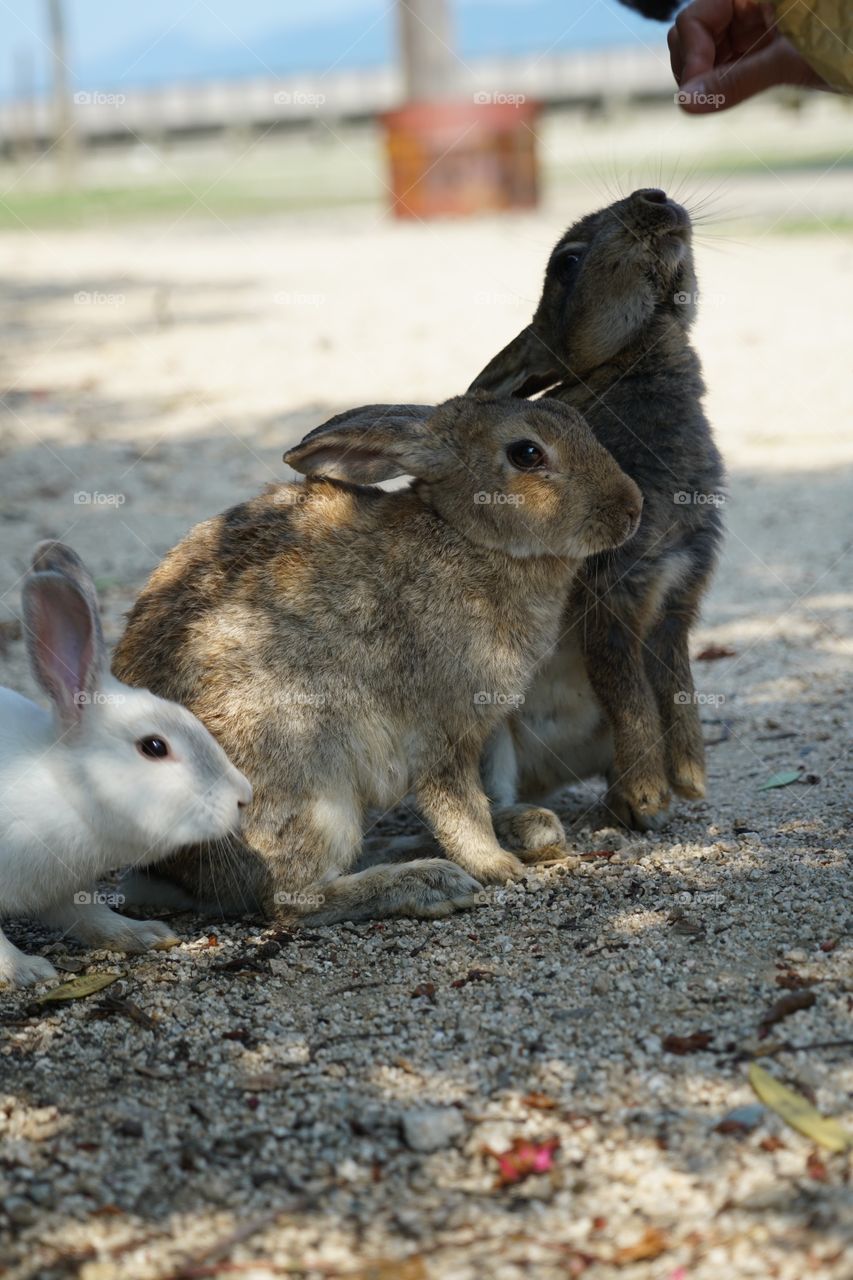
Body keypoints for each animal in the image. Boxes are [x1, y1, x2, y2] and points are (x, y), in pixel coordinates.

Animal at [0, 541, 253, 988]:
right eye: (153, 747)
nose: (244, 796)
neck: (68, 791)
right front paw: (26, 970)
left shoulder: (62, 889)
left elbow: (91, 916)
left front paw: (144, 934)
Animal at [112, 393, 643, 926]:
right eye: (527, 454)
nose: (631, 508)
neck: (466, 537)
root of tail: (178, 871)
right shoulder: (442, 727)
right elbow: (459, 804)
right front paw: (497, 867)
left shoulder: (486, 728)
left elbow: (486, 787)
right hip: (309, 778)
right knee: (290, 899)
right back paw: (429, 882)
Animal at [465, 187, 725, 830]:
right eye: (569, 262)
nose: (655, 197)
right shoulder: (610, 593)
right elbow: (626, 688)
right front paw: (652, 795)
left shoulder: (677, 595)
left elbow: (675, 687)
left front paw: (688, 781)